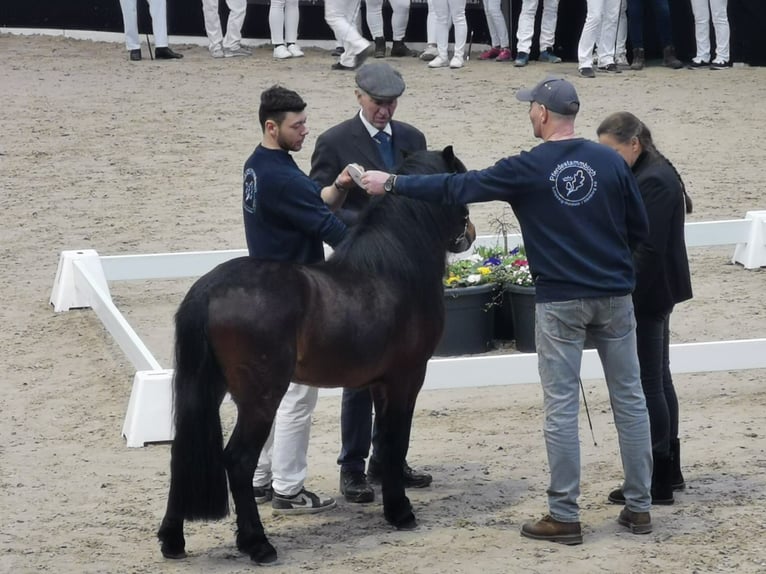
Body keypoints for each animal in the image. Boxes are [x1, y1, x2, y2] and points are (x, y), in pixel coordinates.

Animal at [159, 146, 476, 564]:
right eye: (457, 185)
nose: (469, 234)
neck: (393, 271)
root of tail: (209, 289)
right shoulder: (407, 377)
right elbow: (395, 441)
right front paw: (401, 511)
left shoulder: (380, 383)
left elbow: (384, 440)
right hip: (261, 398)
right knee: (239, 461)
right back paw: (258, 544)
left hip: (208, 388)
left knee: (182, 455)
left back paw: (172, 540)